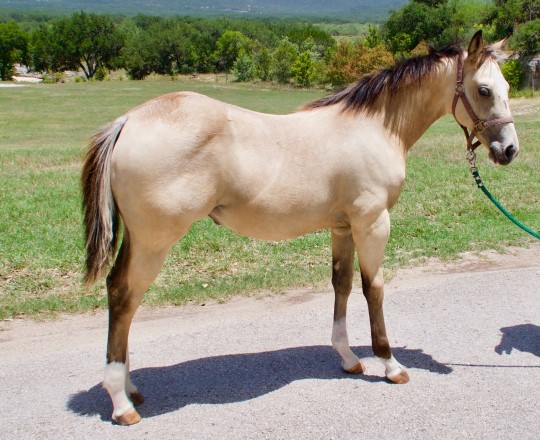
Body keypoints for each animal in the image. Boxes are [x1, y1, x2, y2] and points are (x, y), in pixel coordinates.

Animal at [81, 32, 520, 424]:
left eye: (507, 87)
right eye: (483, 90)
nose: (510, 150)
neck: (376, 127)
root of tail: (128, 121)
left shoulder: (343, 228)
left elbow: (342, 285)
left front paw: (348, 358)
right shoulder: (372, 223)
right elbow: (373, 289)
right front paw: (390, 363)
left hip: (139, 239)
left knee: (122, 296)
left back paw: (129, 387)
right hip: (154, 241)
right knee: (124, 296)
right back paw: (121, 403)